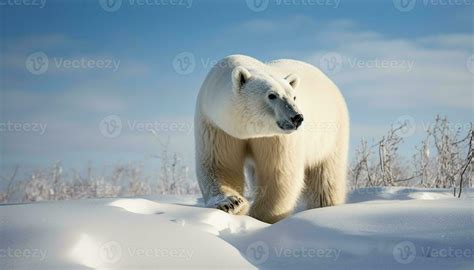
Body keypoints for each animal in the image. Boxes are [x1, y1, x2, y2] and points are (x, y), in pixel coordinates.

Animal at [193, 54, 348, 224]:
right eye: (272, 95)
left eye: (294, 96)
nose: (297, 118)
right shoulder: (216, 126)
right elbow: (220, 165)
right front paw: (232, 203)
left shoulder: (276, 137)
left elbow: (278, 173)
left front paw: (259, 217)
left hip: (332, 134)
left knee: (326, 177)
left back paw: (324, 206)